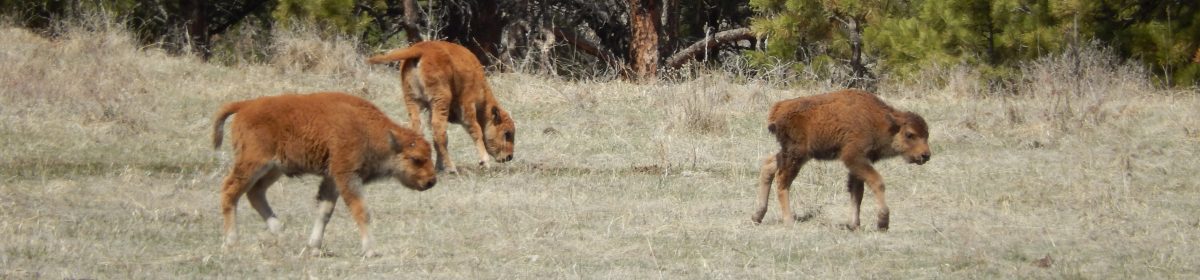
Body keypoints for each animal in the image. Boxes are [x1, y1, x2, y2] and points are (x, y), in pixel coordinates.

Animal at [211, 91, 436, 255]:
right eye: (416, 159)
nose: (431, 181)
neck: (370, 130)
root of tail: (245, 106)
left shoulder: (331, 178)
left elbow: (324, 211)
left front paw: (314, 246)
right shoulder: (346, 175)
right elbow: (361, 210)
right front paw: (370, 250)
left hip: (274, 169)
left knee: (255, 193)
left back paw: (280, 230)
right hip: (254, 164)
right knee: (230, 191)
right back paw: (231, 242)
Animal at [753, 88, 931, 229]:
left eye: (927, 134)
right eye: (910, 134)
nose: (926, 155)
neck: (882, 121)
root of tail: (779, 108)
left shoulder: (858, 164)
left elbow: (857, 193)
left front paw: (854, 224)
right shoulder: (853, 157)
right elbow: (877, 182)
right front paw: (882, 222)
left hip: (793, 154)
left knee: (769, 166)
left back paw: (757, 216)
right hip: (796, 155)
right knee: (783, 182)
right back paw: (789, 221)